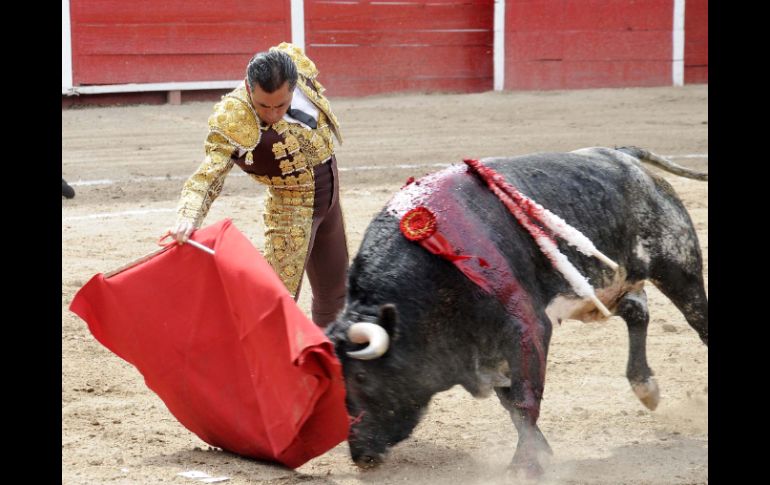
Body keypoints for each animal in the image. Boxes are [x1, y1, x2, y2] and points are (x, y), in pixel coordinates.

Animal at [320, 146, 704, 474]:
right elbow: (510, 404)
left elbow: (523, 400)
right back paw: (645, 386)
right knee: (637, 311)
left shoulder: (527, 329)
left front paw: (525, 465)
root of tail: (623, 155)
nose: (361, 455)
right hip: (604, 289)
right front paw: (539, 453)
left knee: (697, 317)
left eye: (360, 377)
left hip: (678, 267)